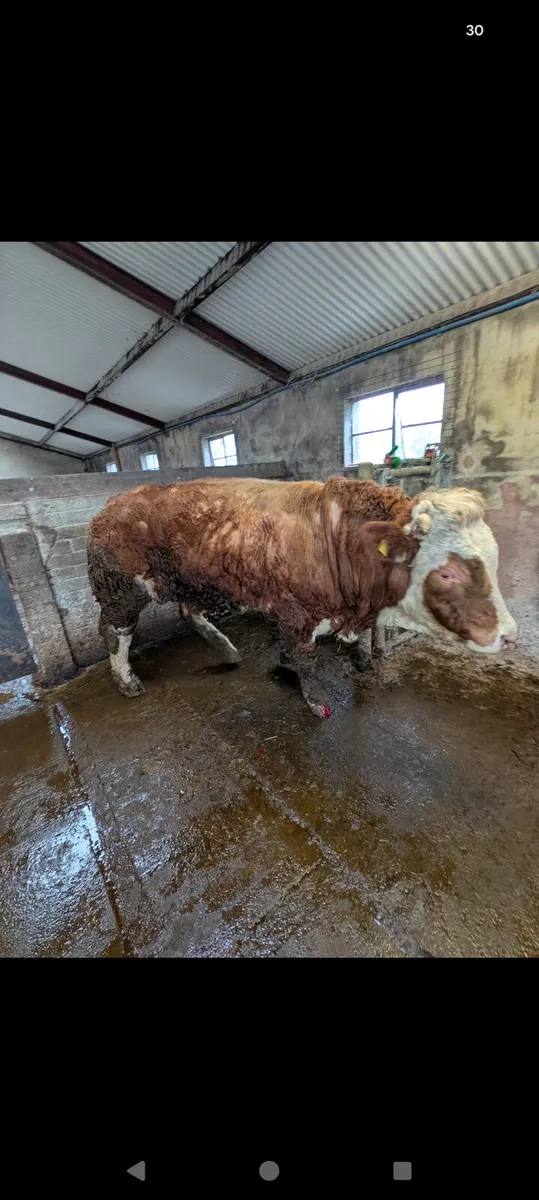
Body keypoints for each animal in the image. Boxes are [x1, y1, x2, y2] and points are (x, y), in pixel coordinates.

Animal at [87, 475, 517, 719]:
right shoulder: (300, 611)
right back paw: (127, 681)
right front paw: (314, 701)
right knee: (115, 632)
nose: (510, 635)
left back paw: (227, 649)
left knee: (187, 610)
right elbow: (305, 658)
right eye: (447, 572)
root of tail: (113, 503)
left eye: (494, 558)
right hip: (120, 589)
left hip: (196, 578)